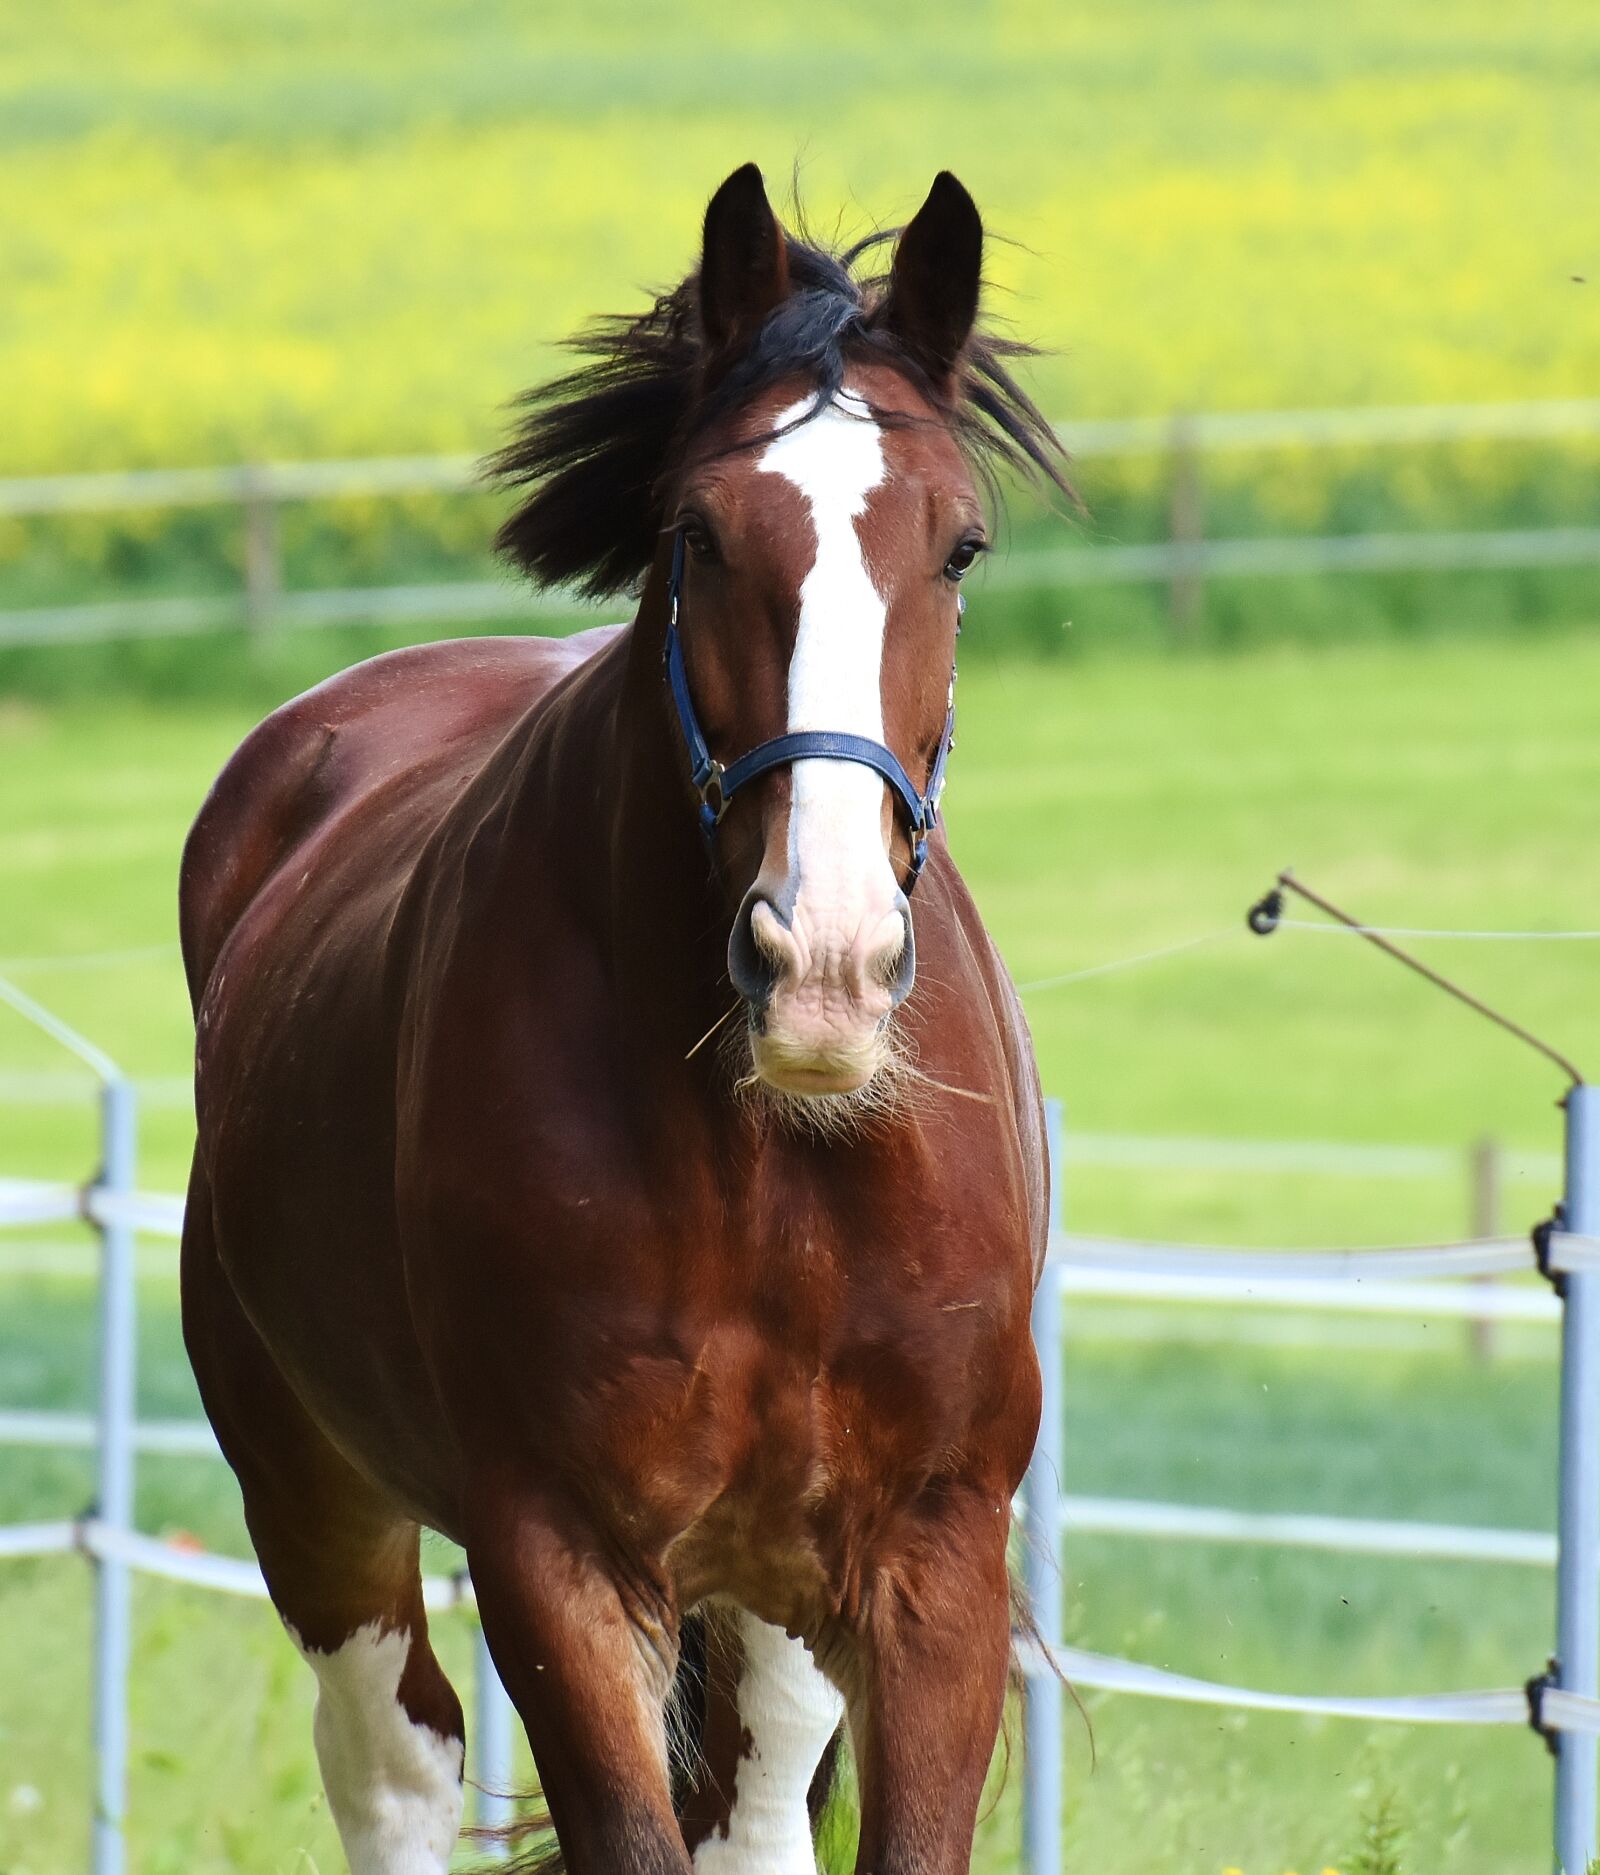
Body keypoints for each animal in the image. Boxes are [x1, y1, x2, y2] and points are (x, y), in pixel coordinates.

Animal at [179, 163, 1068, 1875]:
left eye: (963, 548)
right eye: (698, 534)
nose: (823, 959)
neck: (768, 1147)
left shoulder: (926, 1554)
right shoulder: (558, 1552)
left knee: (754, 1805)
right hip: (313, 1490)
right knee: (395, 1762)